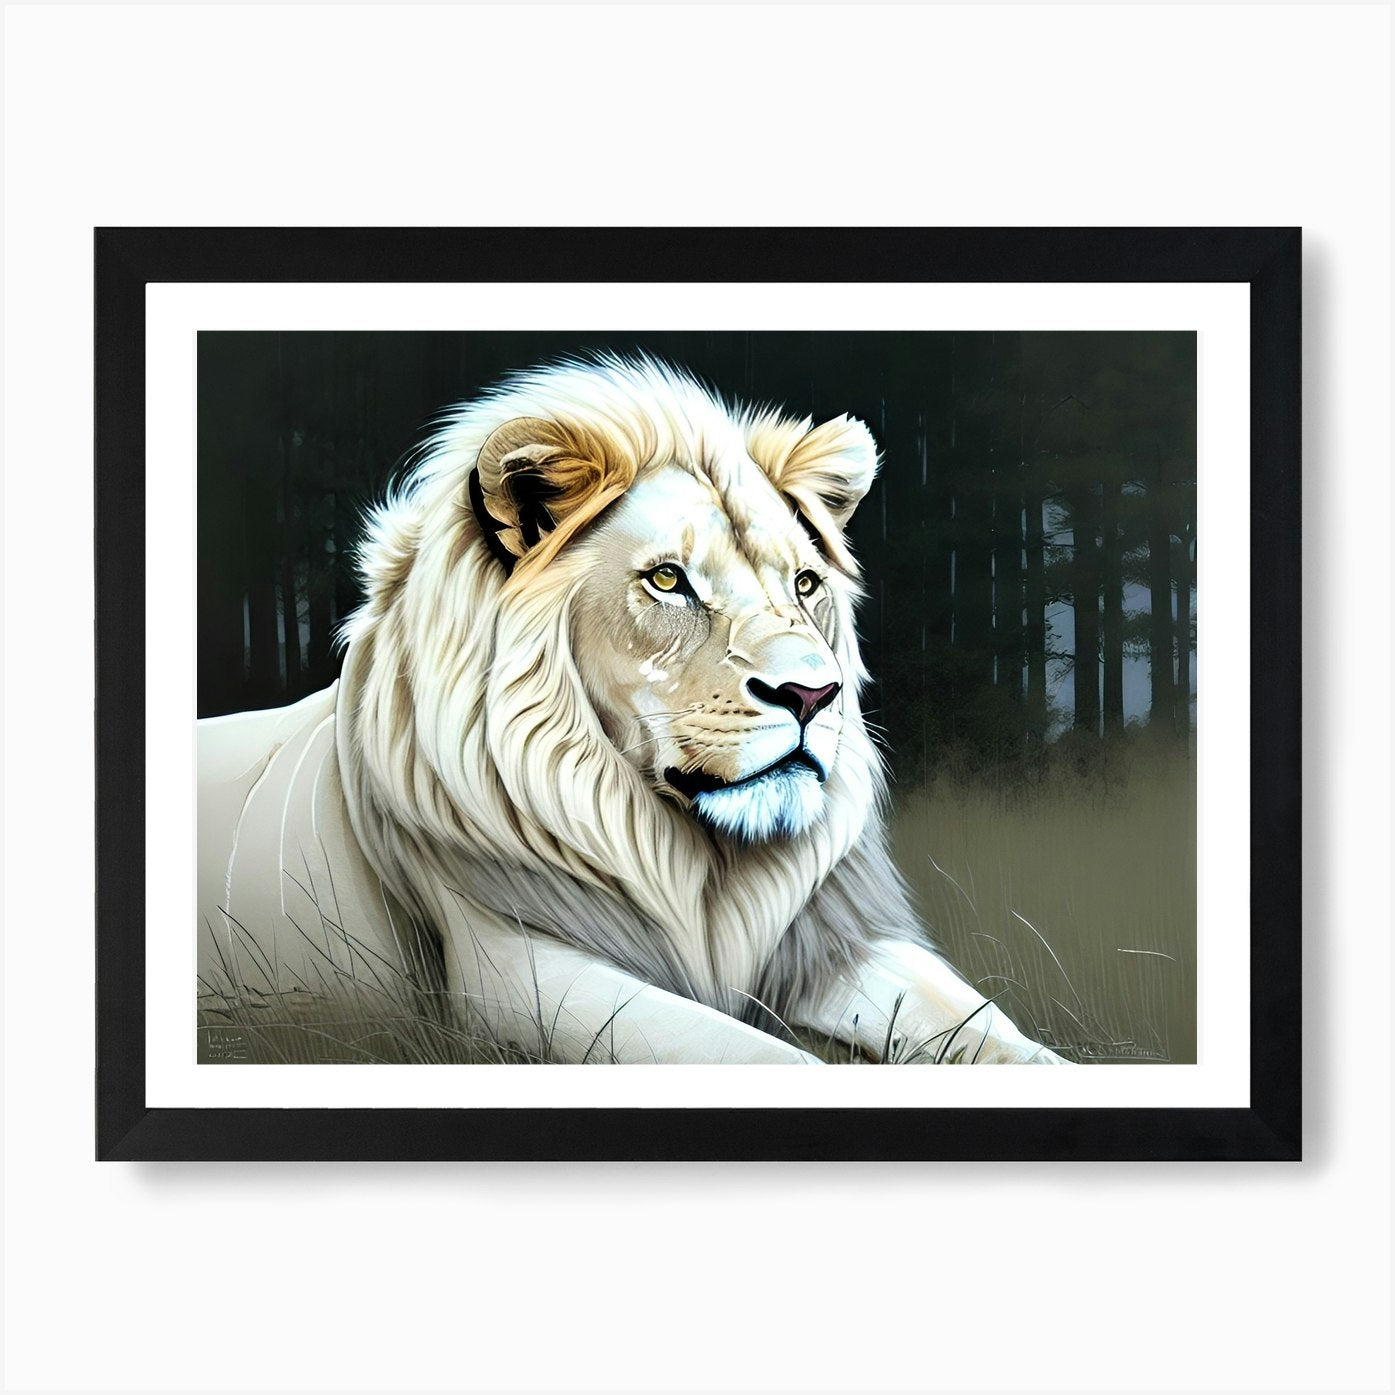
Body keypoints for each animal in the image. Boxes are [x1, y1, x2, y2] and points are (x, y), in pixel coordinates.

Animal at [198, 355, 1069, 1064]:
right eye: (667, 580)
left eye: (804, 583)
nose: (812, 695)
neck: (698, 864)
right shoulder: (511, 971)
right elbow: (769, 1059)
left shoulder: (829, 940)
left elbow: (996, 1035)